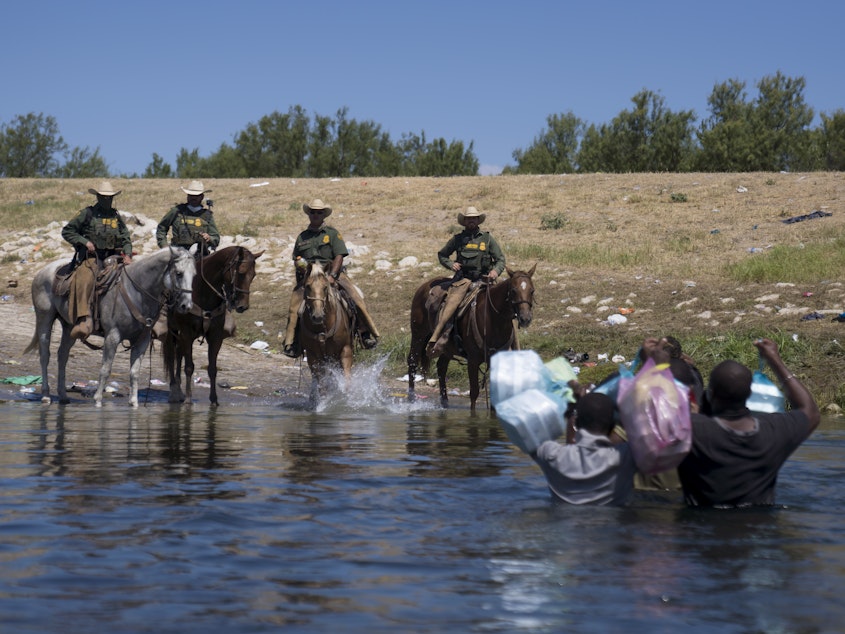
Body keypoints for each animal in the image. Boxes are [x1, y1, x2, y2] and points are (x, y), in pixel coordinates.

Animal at [24, 244, 196, 408]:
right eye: (179, 273)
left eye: (194, 275)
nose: (186, 306)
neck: (136, 292)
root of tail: (42, 271)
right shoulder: (112, 336)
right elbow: (105, 369)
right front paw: (98, 400)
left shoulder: (142, 340)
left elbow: (134, 372)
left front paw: (134, 403)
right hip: (44, 318)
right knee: (45, 355)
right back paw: (46, 395)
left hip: (68, 327)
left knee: (62, 356)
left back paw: (63, 396)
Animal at [161, 244, 260, 402]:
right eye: (241, 273)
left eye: (254, 275)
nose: (242, 306)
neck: (202, 291)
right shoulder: (187, 334)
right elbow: (189, 367)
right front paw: (188, 399)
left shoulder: (215, 336)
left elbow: (212, 369)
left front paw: (214, 399)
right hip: (173, 330)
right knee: (171, 355)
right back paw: (174, 390)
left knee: (179, 353)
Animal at [298, 260, 354, 404]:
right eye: (307, 286)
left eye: (325, 287)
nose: (317, 316)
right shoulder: (313, 356)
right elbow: (322, 385)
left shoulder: (345, 350)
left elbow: (346, 382)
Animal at [408, 264, 536, 412]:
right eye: (514, 291)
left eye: (532, 291)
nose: (525, 318)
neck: (493, 319)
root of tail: (423, 287)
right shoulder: (473, 361)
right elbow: (474, 393)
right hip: (418, 335)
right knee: (412, 362)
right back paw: (411, 399)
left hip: (447, 348)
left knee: (441, 367)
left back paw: (445, 402)